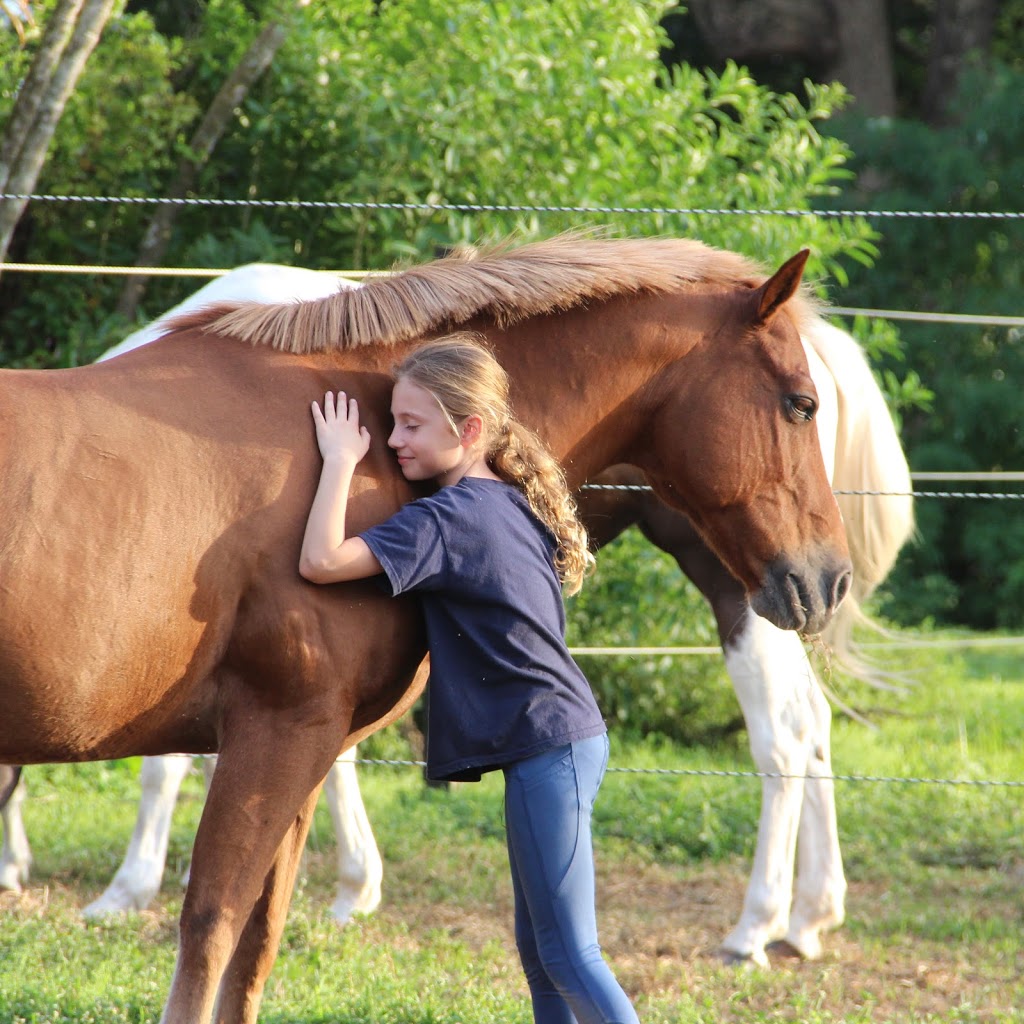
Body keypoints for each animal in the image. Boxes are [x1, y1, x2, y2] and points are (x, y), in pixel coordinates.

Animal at [0, 234, 847, 1024]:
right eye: (800, 403)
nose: (829, 577)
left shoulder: (296, 745)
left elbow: (255, 939)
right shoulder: (278, 734)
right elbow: (213, 929)